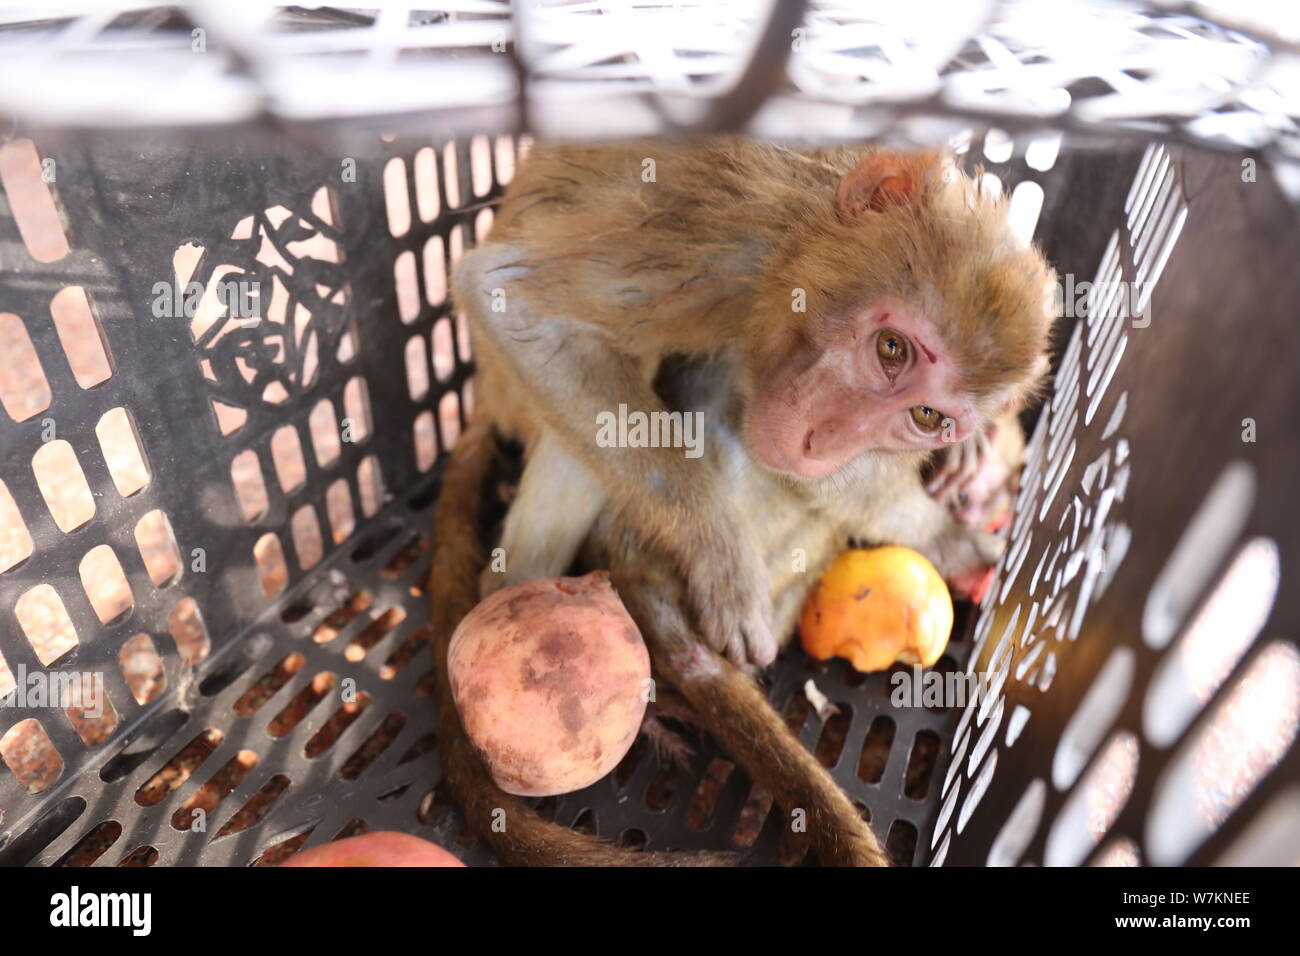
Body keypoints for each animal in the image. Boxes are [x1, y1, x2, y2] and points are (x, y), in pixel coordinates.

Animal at [428, 136, 1055, 868]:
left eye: (926, 415)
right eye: (891, 348)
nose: (822, 441)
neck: (803, 230)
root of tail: (484, 400)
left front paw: (968, 501)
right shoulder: (724, 252)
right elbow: (509, 299)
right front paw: (722, 555)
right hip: (515, 388)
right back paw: (522, 590)